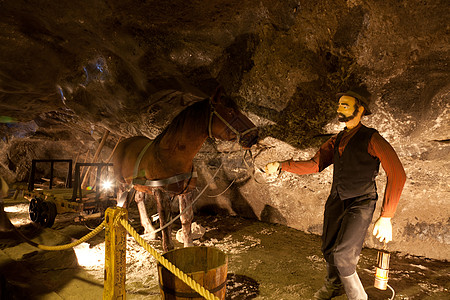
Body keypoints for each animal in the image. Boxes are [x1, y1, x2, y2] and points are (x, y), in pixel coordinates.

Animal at [114, 88, 258, 252]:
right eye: (230, 111)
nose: (254, 135)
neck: (172, 157)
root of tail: (122, 142)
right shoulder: (161, 193)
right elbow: (165, 222)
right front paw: (167, 249)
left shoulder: (186, 192)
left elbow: (186, 218)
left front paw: (188, 245)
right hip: (122, 184)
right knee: (122, 204)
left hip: (138, 185)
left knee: (139, 199)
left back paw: (149, 230)